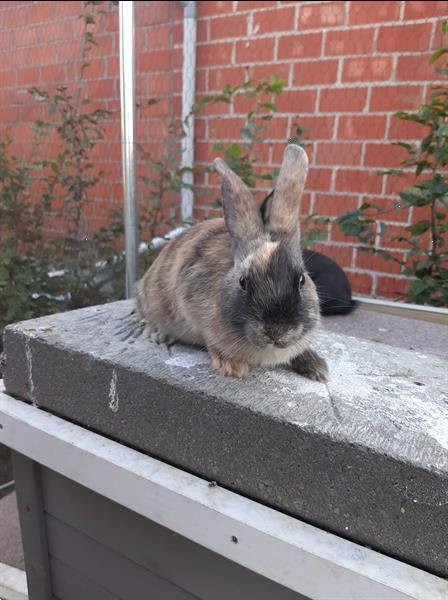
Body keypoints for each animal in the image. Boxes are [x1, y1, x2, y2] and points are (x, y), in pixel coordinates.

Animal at [135, 144, 328, 382]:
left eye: (301, 280)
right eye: (243, 282)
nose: (276, 331)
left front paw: (318, 368)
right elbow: (214, 344)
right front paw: (233, 367)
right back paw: (156, 333)